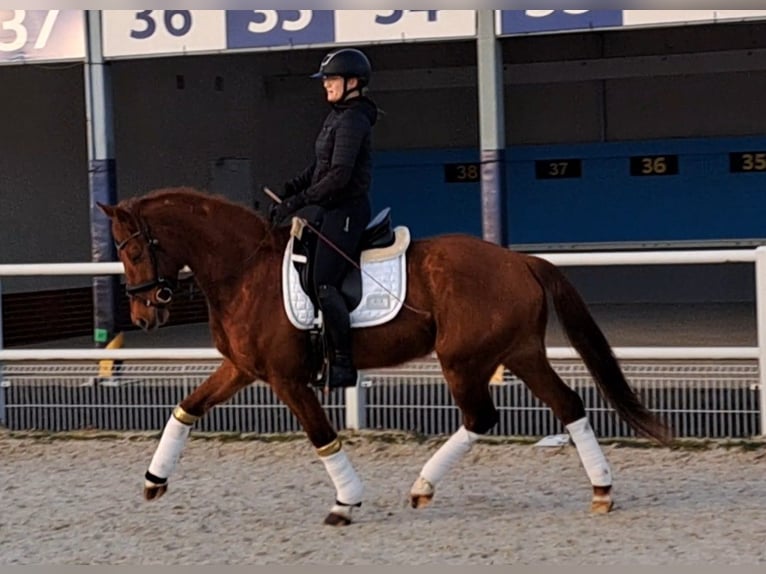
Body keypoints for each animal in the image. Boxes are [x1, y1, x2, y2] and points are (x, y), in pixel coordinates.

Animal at [99, 188, 676, 528]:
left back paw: (423, 487)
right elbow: (186, 408)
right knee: (569, 406)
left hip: (464, 359)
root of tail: (520, 261)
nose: (145, 316)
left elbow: (321, 437)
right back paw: (601, 490)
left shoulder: (287, 378)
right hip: (520, 351)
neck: (245, 270)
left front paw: (345, 502)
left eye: (135, 250)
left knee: (482, 417)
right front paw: (154, 481)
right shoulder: (243, 369)